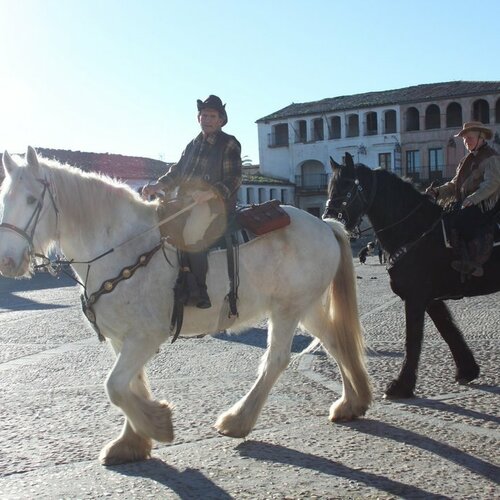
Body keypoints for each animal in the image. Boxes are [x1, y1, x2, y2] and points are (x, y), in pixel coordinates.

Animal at [0, 147, 372, 464]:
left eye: (32, 200)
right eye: (5, 199)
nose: (7, 261)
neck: (121, 246)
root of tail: (325, 224)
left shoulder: (144, 337)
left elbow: (115, 387)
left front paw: (157, 424)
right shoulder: (122, 339)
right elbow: (130, 385)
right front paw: (131, 442)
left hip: (287, 309)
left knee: (277, 359)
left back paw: (238, 419)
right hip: (306, 308)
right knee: (336, 341)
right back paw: (351, 402)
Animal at [324, 152, 500, 398]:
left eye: (348, 185)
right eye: (331, 186)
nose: (329, 218)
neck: (415, 230)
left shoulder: (416, 297)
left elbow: (413, 338)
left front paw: (401, 385)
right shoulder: (431, 299)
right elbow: (448, 330)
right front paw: (467, 370)